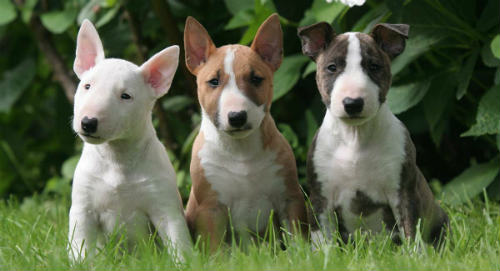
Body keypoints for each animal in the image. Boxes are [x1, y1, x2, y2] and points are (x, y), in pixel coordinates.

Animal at [67, 19, 191, 262]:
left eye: (126, 96)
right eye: (87, 86)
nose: (88, 123)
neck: (117, 157)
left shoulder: (165, 207)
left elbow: (178, 242)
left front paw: (185, 263)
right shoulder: (83, 209)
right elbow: (81, 244)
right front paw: (80, 263)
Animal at [184, 13, 308, 252]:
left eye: (256, 79)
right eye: (214, 81)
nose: (237, 117)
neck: (240, 150)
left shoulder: (289, 197)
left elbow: (297, 237)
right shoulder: (210, 208)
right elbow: (215, 249)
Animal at [298, 22, 452, 248]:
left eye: (374, 67)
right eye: (332, 67)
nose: (353, 103)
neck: (355, 137)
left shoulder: (403, 192)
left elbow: (411, 231)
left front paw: (415, 254)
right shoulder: (320, 198)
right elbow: (324, 239)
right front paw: (325, 254)